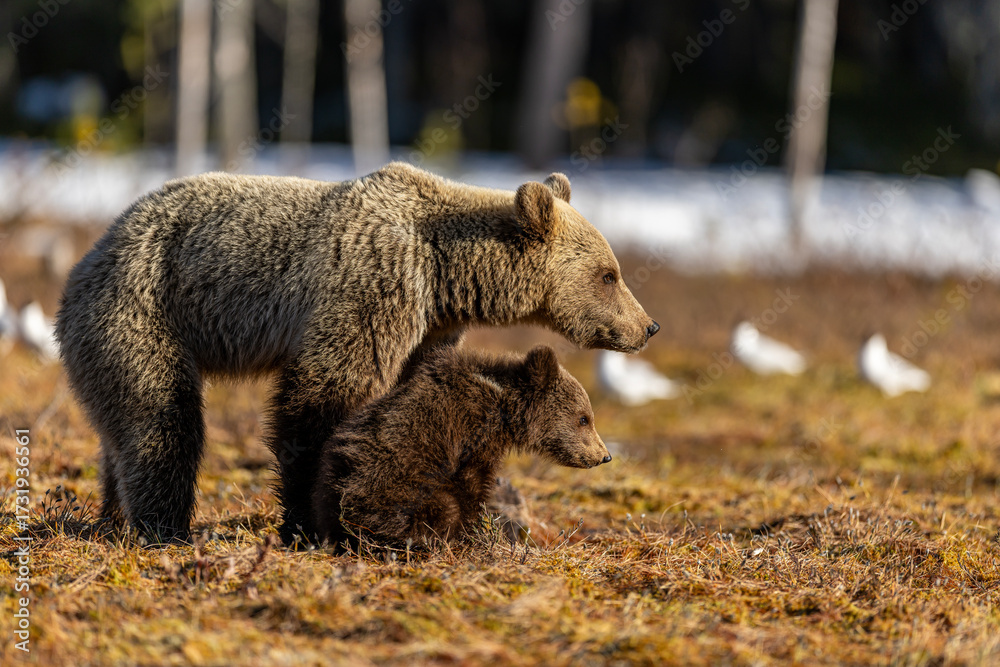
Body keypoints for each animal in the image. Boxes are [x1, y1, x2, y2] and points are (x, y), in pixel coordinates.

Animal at [312, 345, 610, 549]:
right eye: (584, 418)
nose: (604, 456)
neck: (501, 413)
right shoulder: (465, 438)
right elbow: (469, 489)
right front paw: (474, 534)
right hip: (385, 494)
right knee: (438, 506)